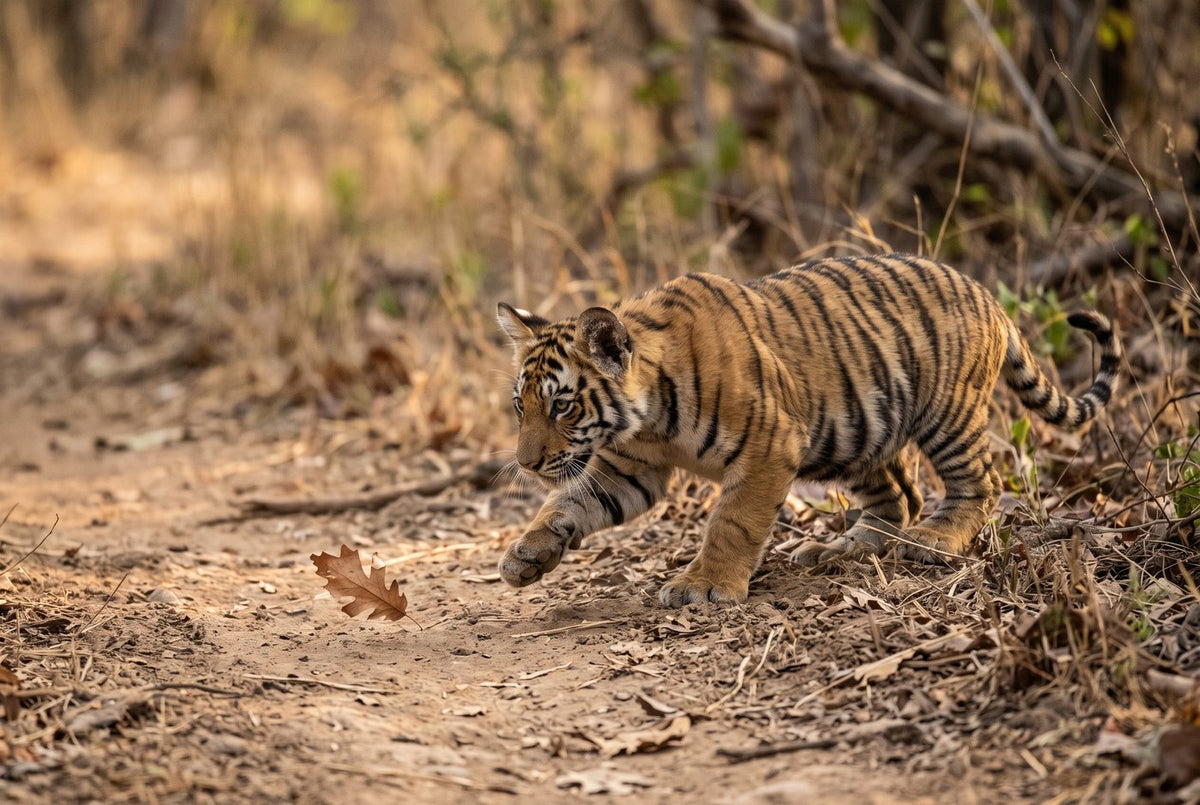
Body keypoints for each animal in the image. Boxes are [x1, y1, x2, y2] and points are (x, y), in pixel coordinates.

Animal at [496, 254, 1119, 607]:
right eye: (520, 406)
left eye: (562, 406)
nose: (526, 464)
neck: (648, 418)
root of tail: (989, 295)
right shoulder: (632, 468)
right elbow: (567, 503)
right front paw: (526, 555)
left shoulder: (768, 444)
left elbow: (734, 522)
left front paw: (704, 586)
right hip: (858, 435)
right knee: (901, 496)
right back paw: (837, 548)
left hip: (947, 414)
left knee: (977, 484)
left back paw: (933, 541)